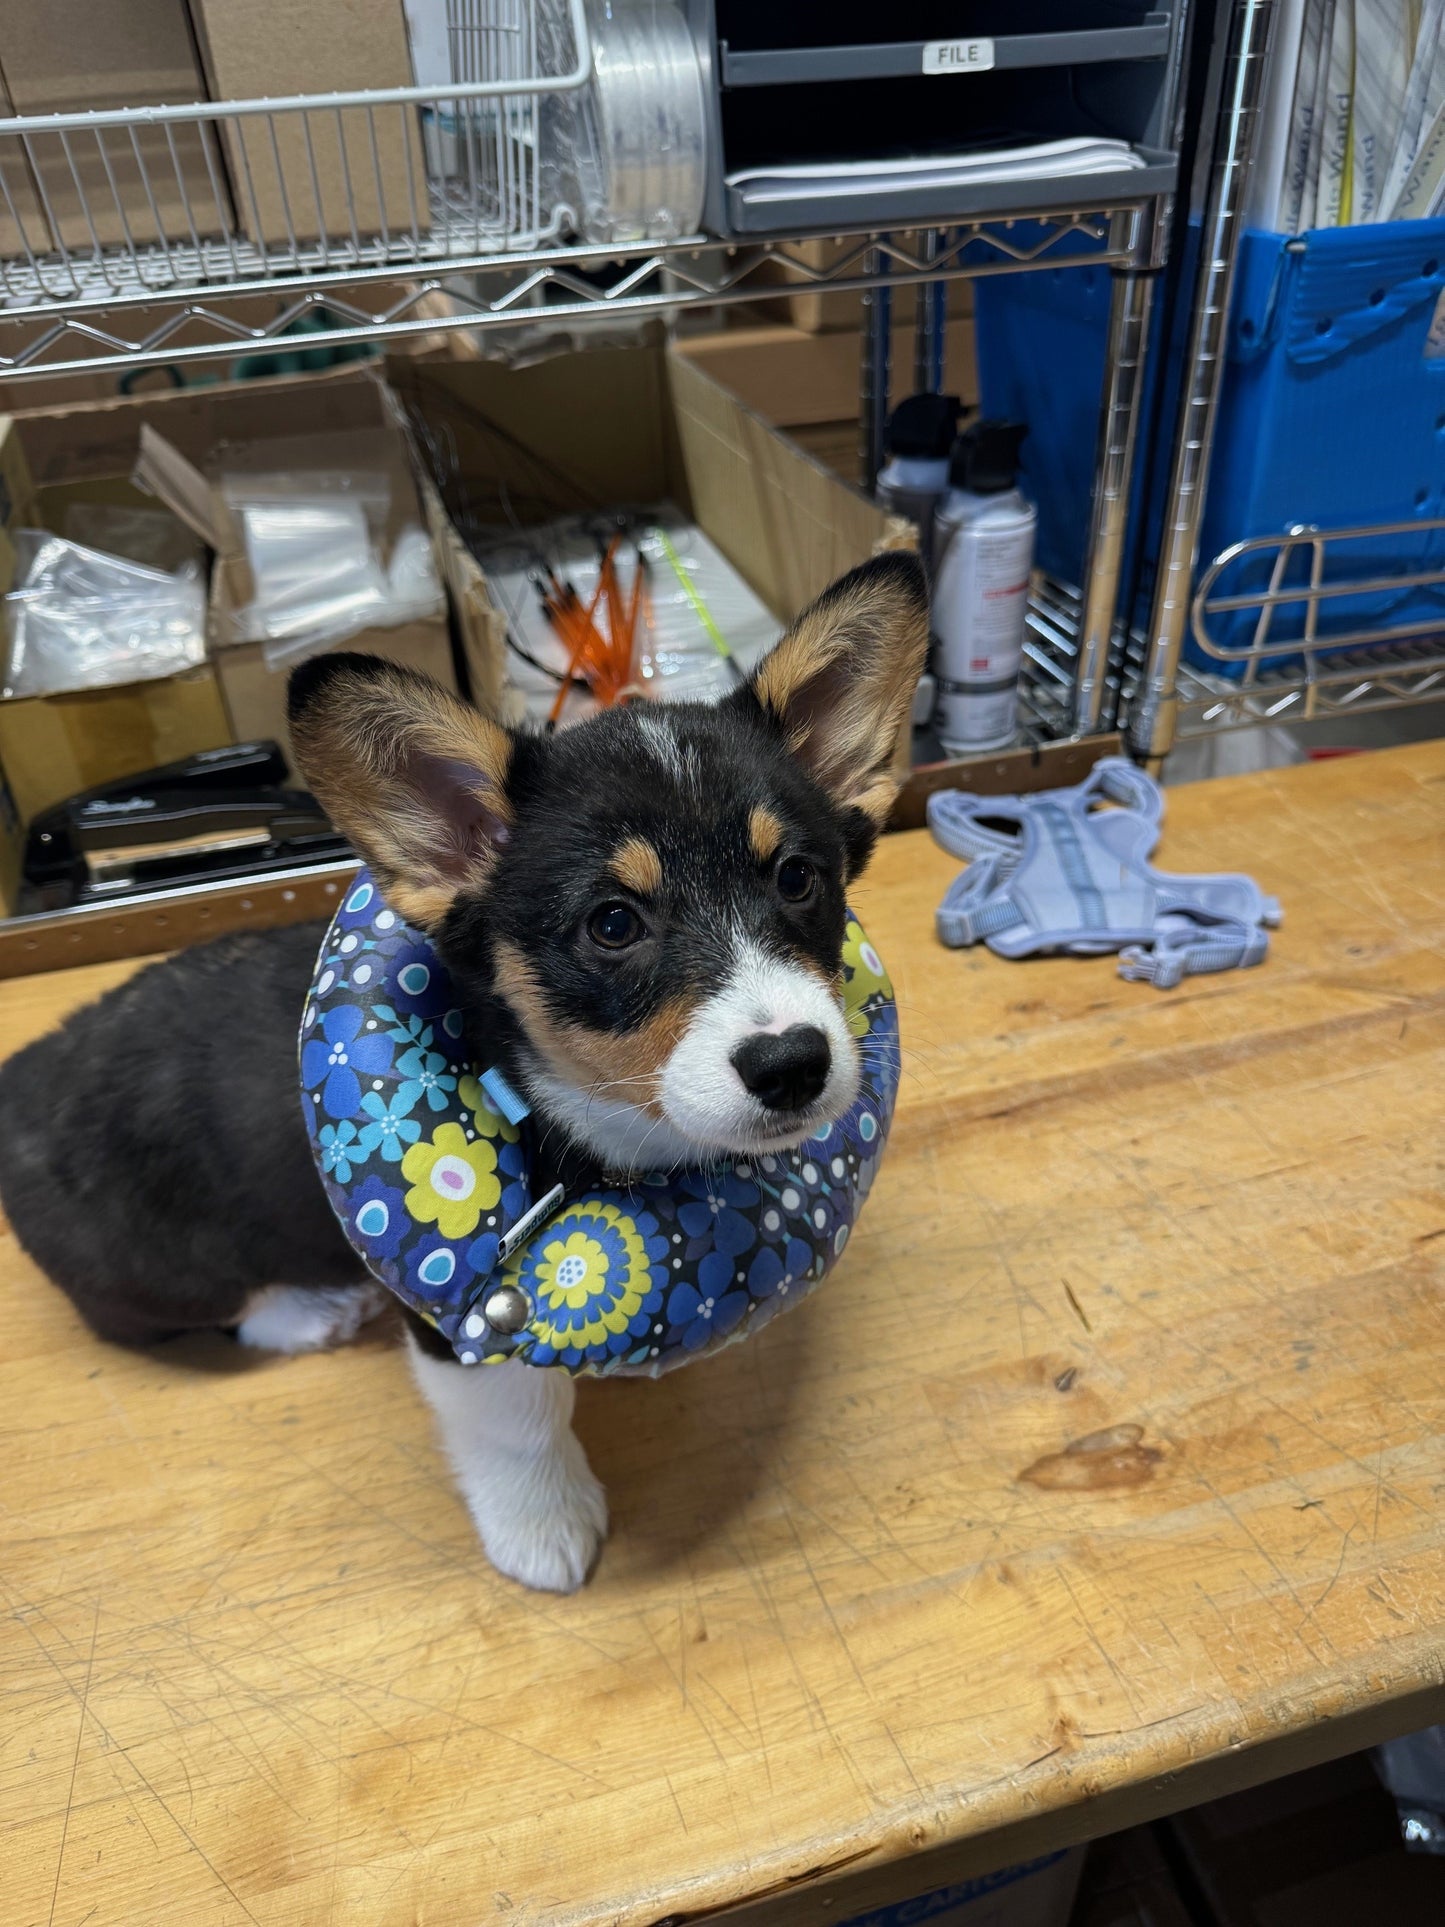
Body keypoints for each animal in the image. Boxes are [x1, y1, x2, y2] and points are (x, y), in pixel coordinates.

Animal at [0, 551, 928, 1587]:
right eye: (612, 923)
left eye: (798, 878)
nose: (793, 1065)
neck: (595, 1129)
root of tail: (22, 1074)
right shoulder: (464, 1327)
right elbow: (519, 1421)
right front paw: (544, 1528)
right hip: (163, 1269)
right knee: (212, 1311)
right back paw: (316, 1310)